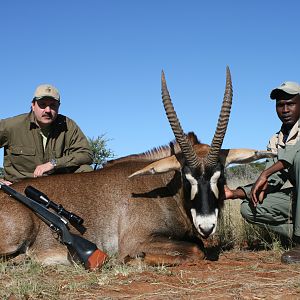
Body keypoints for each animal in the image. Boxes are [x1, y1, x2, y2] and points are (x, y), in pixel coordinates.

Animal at [0, 67, 274, 266]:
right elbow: (197, 251)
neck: (165, 191)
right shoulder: (135, 240)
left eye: (220, 176)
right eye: (186, 177)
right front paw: (135, 259)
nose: (206, 226)